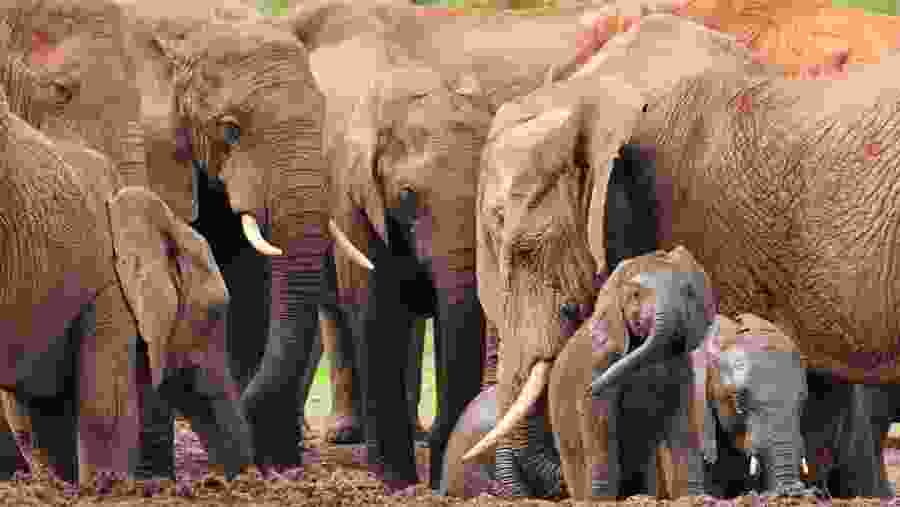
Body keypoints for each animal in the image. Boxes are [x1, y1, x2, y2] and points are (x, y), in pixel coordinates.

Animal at [0, 84, 253, 492]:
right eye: (215, 312)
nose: (250, 482)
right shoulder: (110, 288)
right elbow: (107, 409)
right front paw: (105, 490)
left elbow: (40, 416)